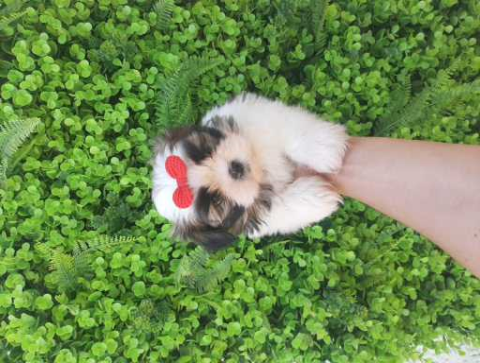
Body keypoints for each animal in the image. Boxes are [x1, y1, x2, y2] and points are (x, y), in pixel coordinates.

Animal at [152, 94, 346, 252]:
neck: (259, 167)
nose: (235, 168)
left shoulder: (253, 115)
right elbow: (282, 207)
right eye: (216, 200)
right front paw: (318, 197)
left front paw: (325, 146)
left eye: (204, 152)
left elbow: (287, 128)